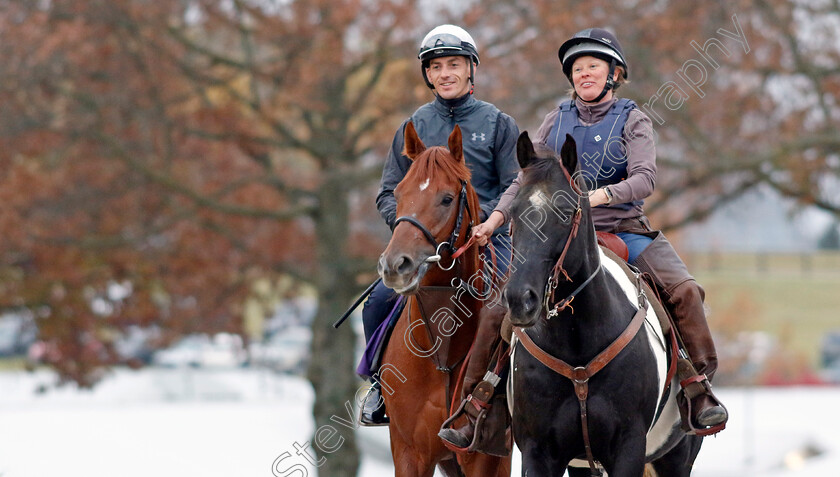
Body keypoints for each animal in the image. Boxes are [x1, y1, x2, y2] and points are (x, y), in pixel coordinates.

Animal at [502, 131, 704, 476]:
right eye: (515, 211)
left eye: (565, 212)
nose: (520, 299)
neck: (577, 349)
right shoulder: (537, 451)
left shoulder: (628, 448)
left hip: (677, 456)